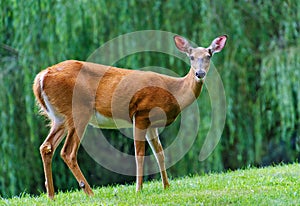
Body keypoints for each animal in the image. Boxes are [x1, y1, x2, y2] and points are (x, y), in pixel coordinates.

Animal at [32, 34, 226, 199]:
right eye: (191, 57)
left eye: (209, 55)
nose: (199, 74)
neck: (174, 91)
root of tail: (40, 78)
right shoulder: (141, 113)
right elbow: (139, 154)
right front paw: (139, 189)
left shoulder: (152, 124)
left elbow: (160, 153)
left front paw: (166, 186)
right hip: (78, 110)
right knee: (68, 152)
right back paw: (89, 192)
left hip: (59, 118)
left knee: (46, 147)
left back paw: (51, 195)